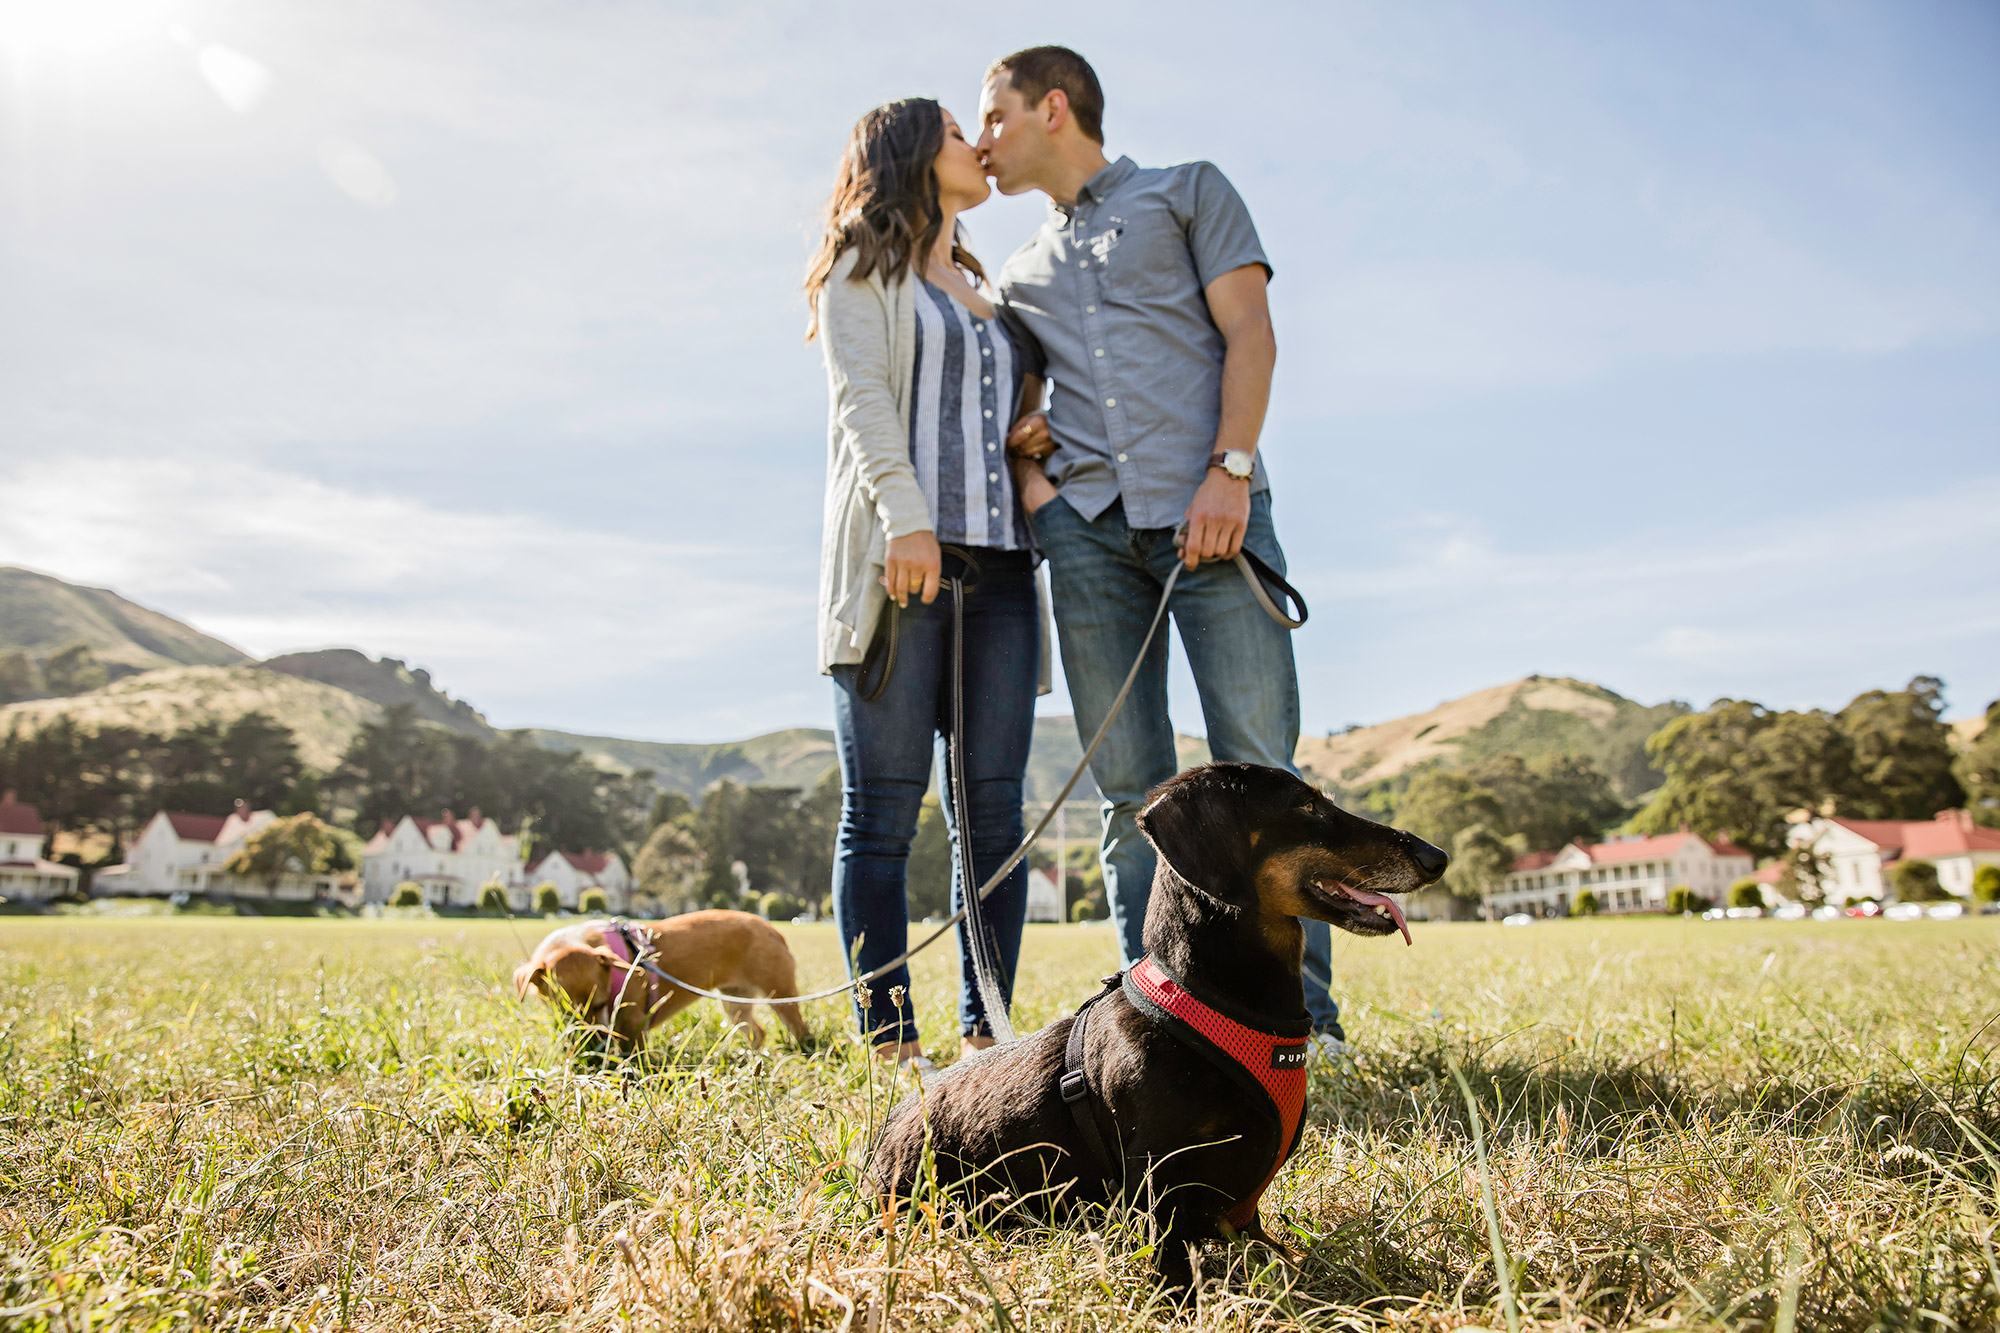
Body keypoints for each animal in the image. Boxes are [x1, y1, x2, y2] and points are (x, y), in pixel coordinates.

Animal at [516, 904, 812, 1048]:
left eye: (599, 1004)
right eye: (564, 1010)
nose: (593, 1045)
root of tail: (771, 928)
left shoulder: (632, 1022)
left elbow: (633, 1057)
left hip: (780, 994)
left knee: (800, 1029)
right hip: (735, 1002)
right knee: (757, 1033)